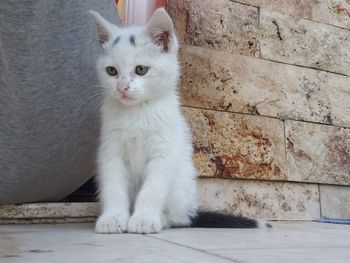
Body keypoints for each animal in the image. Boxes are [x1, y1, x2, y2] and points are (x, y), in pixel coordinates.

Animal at [90, 8, 266, 235]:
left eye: (141, 69)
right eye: (111, 71)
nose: (122, 88)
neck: (137, 112)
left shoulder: (164, 151)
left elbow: (153, 188)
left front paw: (144, 219)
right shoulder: (111, 151)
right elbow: (114, 186)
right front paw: (112, 218)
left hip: (182, 182)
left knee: (178, 218)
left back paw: (163, 219)